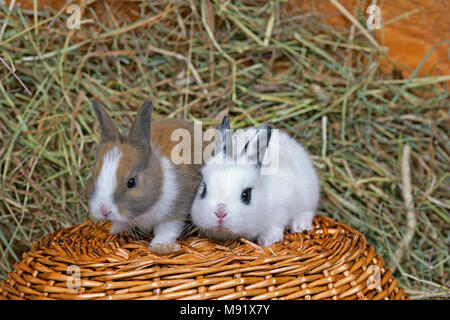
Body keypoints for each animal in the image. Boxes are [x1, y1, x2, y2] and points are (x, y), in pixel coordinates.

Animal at [86, 99, 202, 254]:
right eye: (94, 177)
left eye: (131, 182)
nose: (104, 210)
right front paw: (113, 231)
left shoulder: (175, 210)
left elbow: (167, 230)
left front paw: (160, 246)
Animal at [190, 117, 320, 248]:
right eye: (204, 189)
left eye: (246, 195)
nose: (220, 212)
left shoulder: (281, 210)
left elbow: (276, 226)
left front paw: (268, 241)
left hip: (309, 195)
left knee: (307, 211)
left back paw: (300, 226)